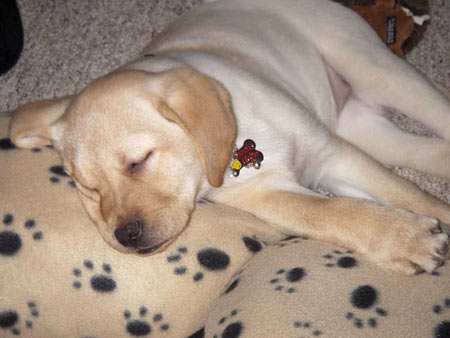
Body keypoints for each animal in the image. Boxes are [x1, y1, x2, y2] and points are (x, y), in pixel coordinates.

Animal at [7, 0, 450, 274]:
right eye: (88, 189)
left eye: (139, 161)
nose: (125, 236)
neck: (240, 145)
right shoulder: (266, 195)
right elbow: (333, 212)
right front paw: (404, 238)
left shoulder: (332, 153)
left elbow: (409, 195)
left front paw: (418, 228)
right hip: (363, 127)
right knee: (427, 150)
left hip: (377, 70)